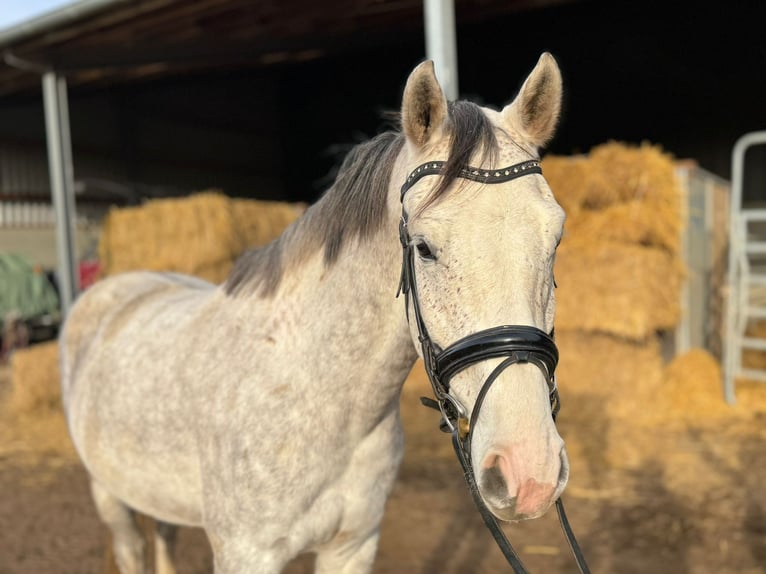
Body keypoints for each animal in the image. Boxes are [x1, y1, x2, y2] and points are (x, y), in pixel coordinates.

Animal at [60, 52, 568, 574]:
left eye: (556, 239)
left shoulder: (352, 545)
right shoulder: (246, 554)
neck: (318, 396)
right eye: (424, 247)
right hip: (109, 494)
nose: (529, 472)